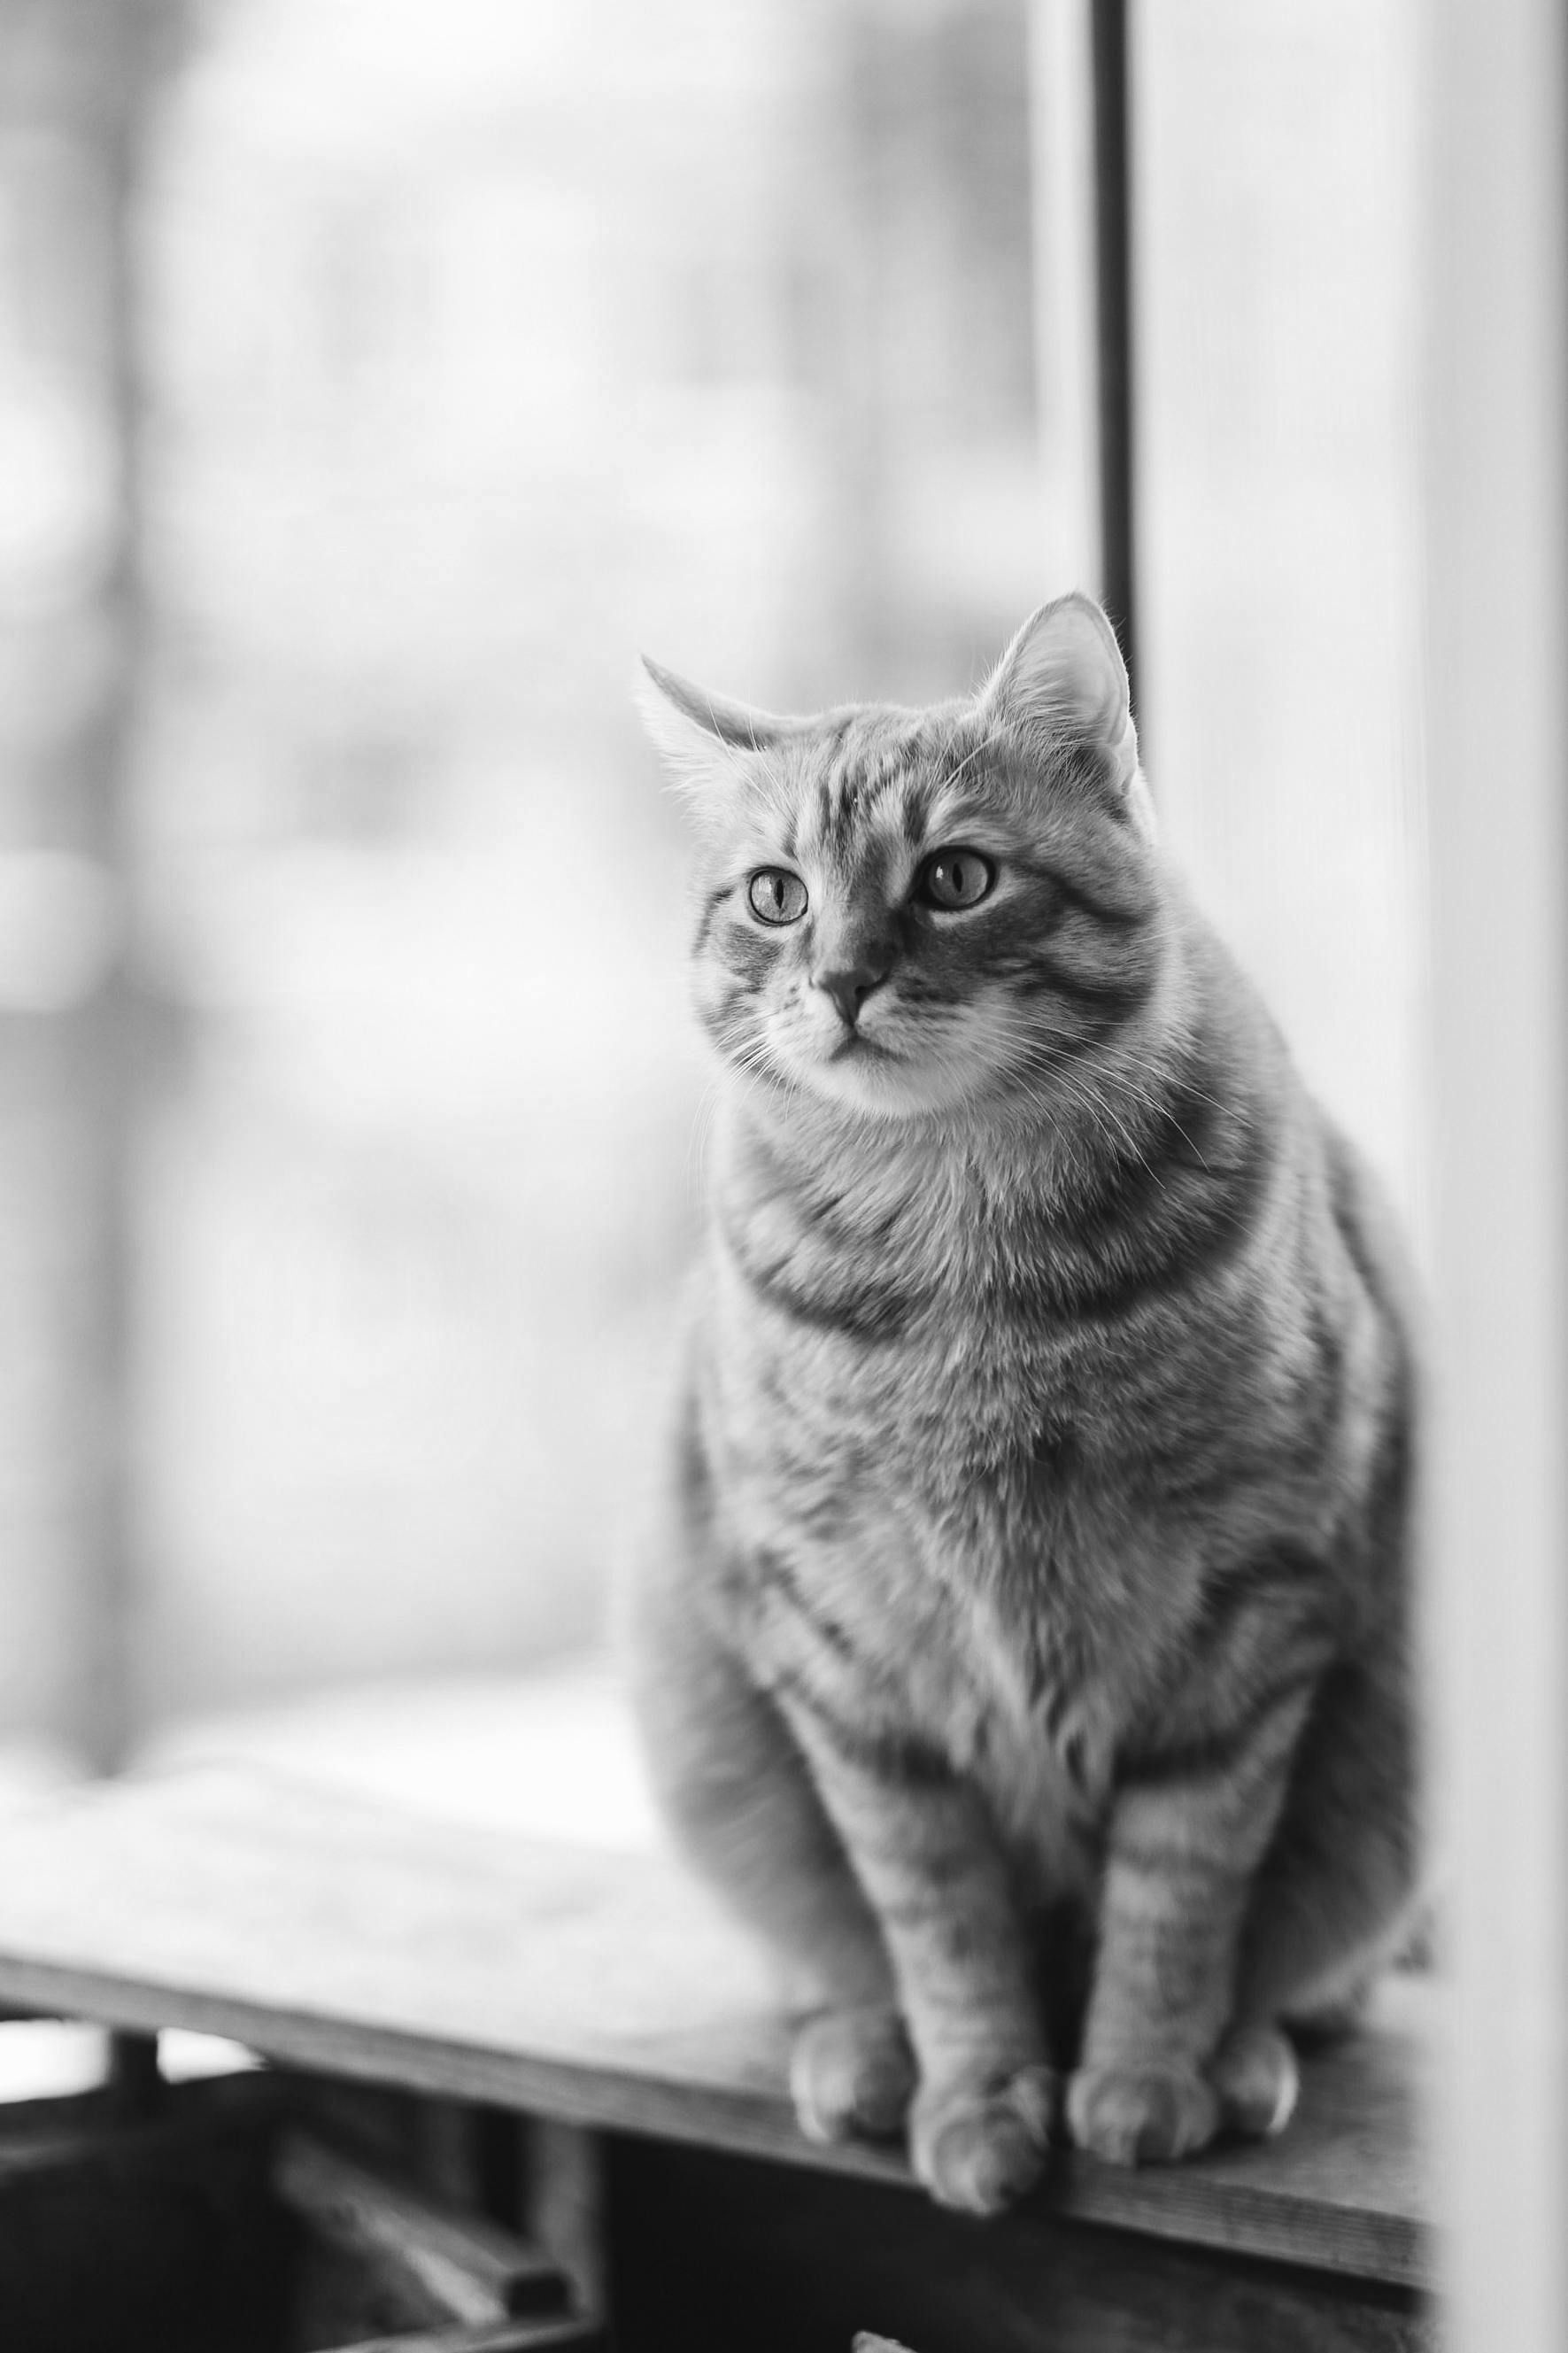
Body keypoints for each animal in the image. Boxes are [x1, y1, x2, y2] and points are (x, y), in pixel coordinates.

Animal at [625, 597, 1419, 2211]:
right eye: (775, 896)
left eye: (954, 877)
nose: (842, 978)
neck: (964, 1272)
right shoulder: (849, 1655)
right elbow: (939, 1920)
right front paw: (982, 2093)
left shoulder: (1249, 1612)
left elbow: (1179, 1891)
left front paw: (1142, 2074)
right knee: (830, 1956)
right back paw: (861, 2049)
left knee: (1308, 1971)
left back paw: (1242, 2054)